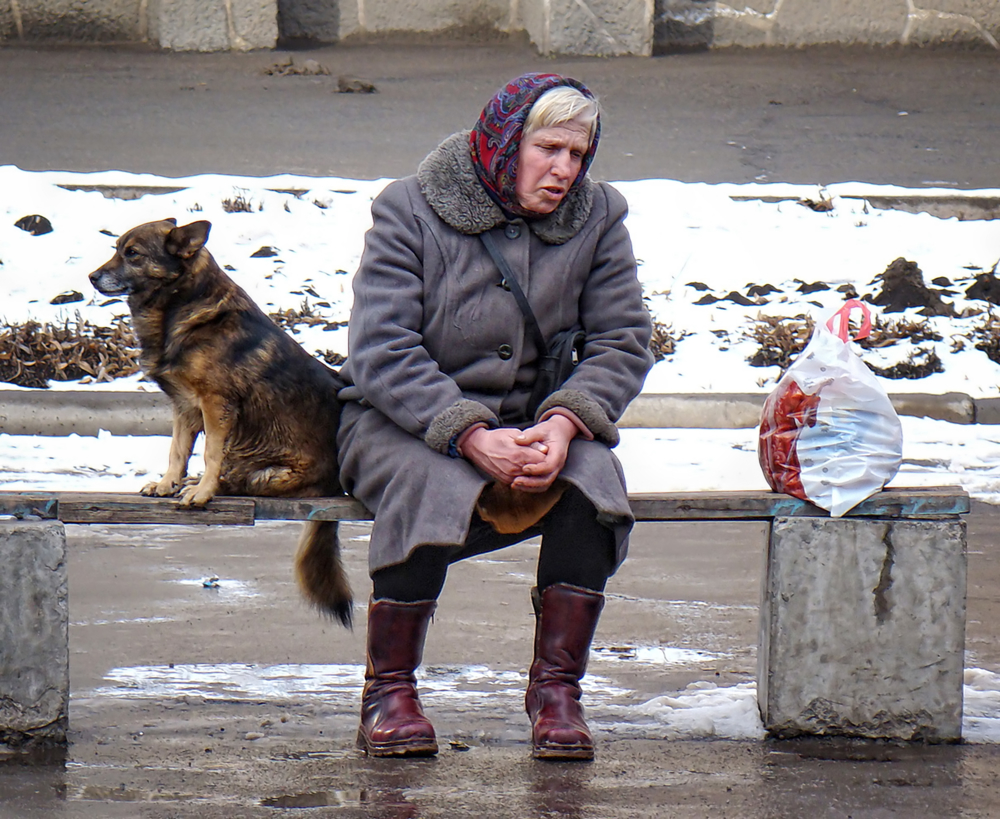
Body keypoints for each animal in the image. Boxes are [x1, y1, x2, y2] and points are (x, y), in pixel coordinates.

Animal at [90, 218, 354, 628]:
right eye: (117, 248)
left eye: (132, 253)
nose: (91, 277)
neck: (181, 304)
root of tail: (335, 489)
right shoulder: (185, 406)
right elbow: (177, 450)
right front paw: (168, 483)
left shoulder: (216, 404)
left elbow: (211, 452)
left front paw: (201, 492)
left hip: (269, 474)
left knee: (238, 477)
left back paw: (209, 485)